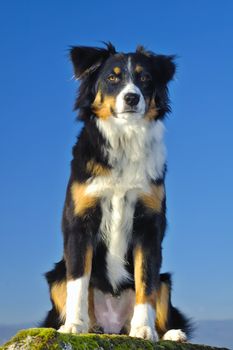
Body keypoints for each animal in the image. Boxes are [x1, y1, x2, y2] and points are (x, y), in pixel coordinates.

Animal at [41, 43, 191, 342]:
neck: (125, 138)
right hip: (56, 275)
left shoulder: (148, 225)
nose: (132, 98)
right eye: (112, 77)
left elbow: (146, 281)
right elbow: (79, 281)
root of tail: (112, 326)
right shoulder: (80, 223)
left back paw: (169, 334)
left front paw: (143, 329)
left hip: (166, 280)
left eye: (145, 78)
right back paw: (89, 326)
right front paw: (74, 325)